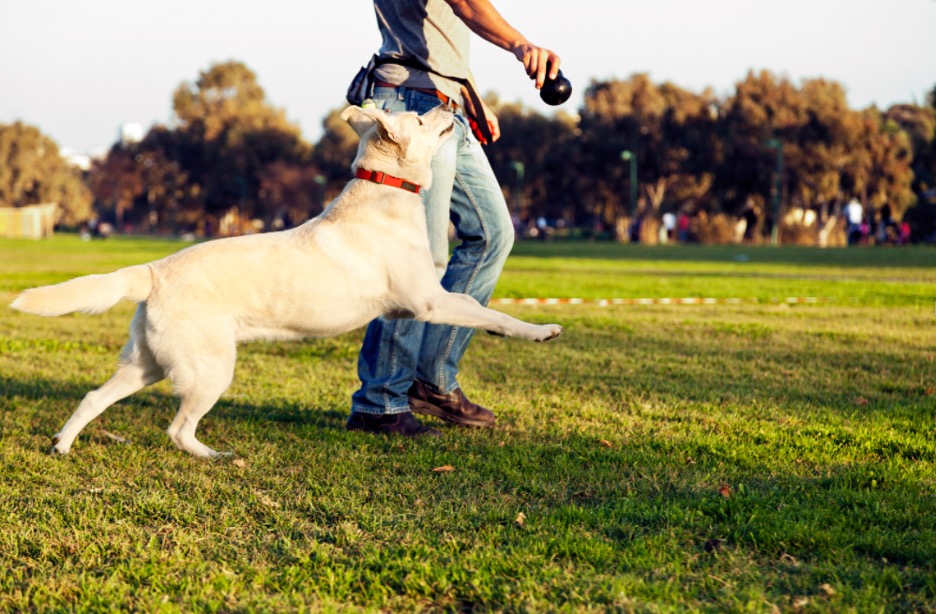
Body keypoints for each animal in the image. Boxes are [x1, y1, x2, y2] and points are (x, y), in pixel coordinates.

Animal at [11, 106, 564, 460]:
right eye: (422, 118)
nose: (451, 104)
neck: (384, 192)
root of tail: (154, 270)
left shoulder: (419, 305)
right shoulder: (429, 302)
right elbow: (491, 310)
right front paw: (540, 331)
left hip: (147, 364)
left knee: (93, 397)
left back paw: (62, 445)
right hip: (210, 369)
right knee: (177, 429)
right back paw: (213, 455)